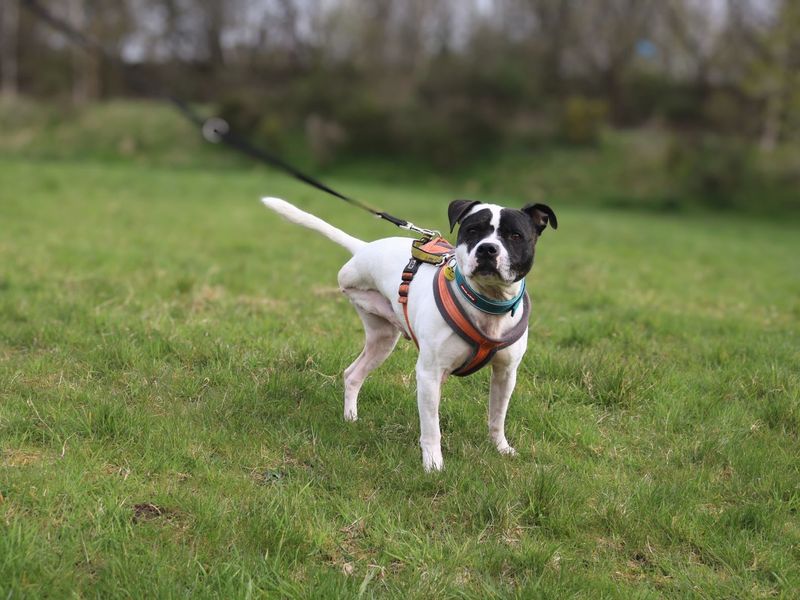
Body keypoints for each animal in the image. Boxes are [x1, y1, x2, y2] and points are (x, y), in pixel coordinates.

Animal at [262, 199, 556, 472]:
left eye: (514, 236)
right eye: (473, 230)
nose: (487, 249)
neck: (486, 303)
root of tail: (364, 248)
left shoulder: (506, 373)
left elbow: (497, 416)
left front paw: (501, 448)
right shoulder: (429, 373)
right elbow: (431, 427)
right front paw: (434, 465)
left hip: (382, 341)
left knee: (353, 374)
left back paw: (351, 418)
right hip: (362, 300)